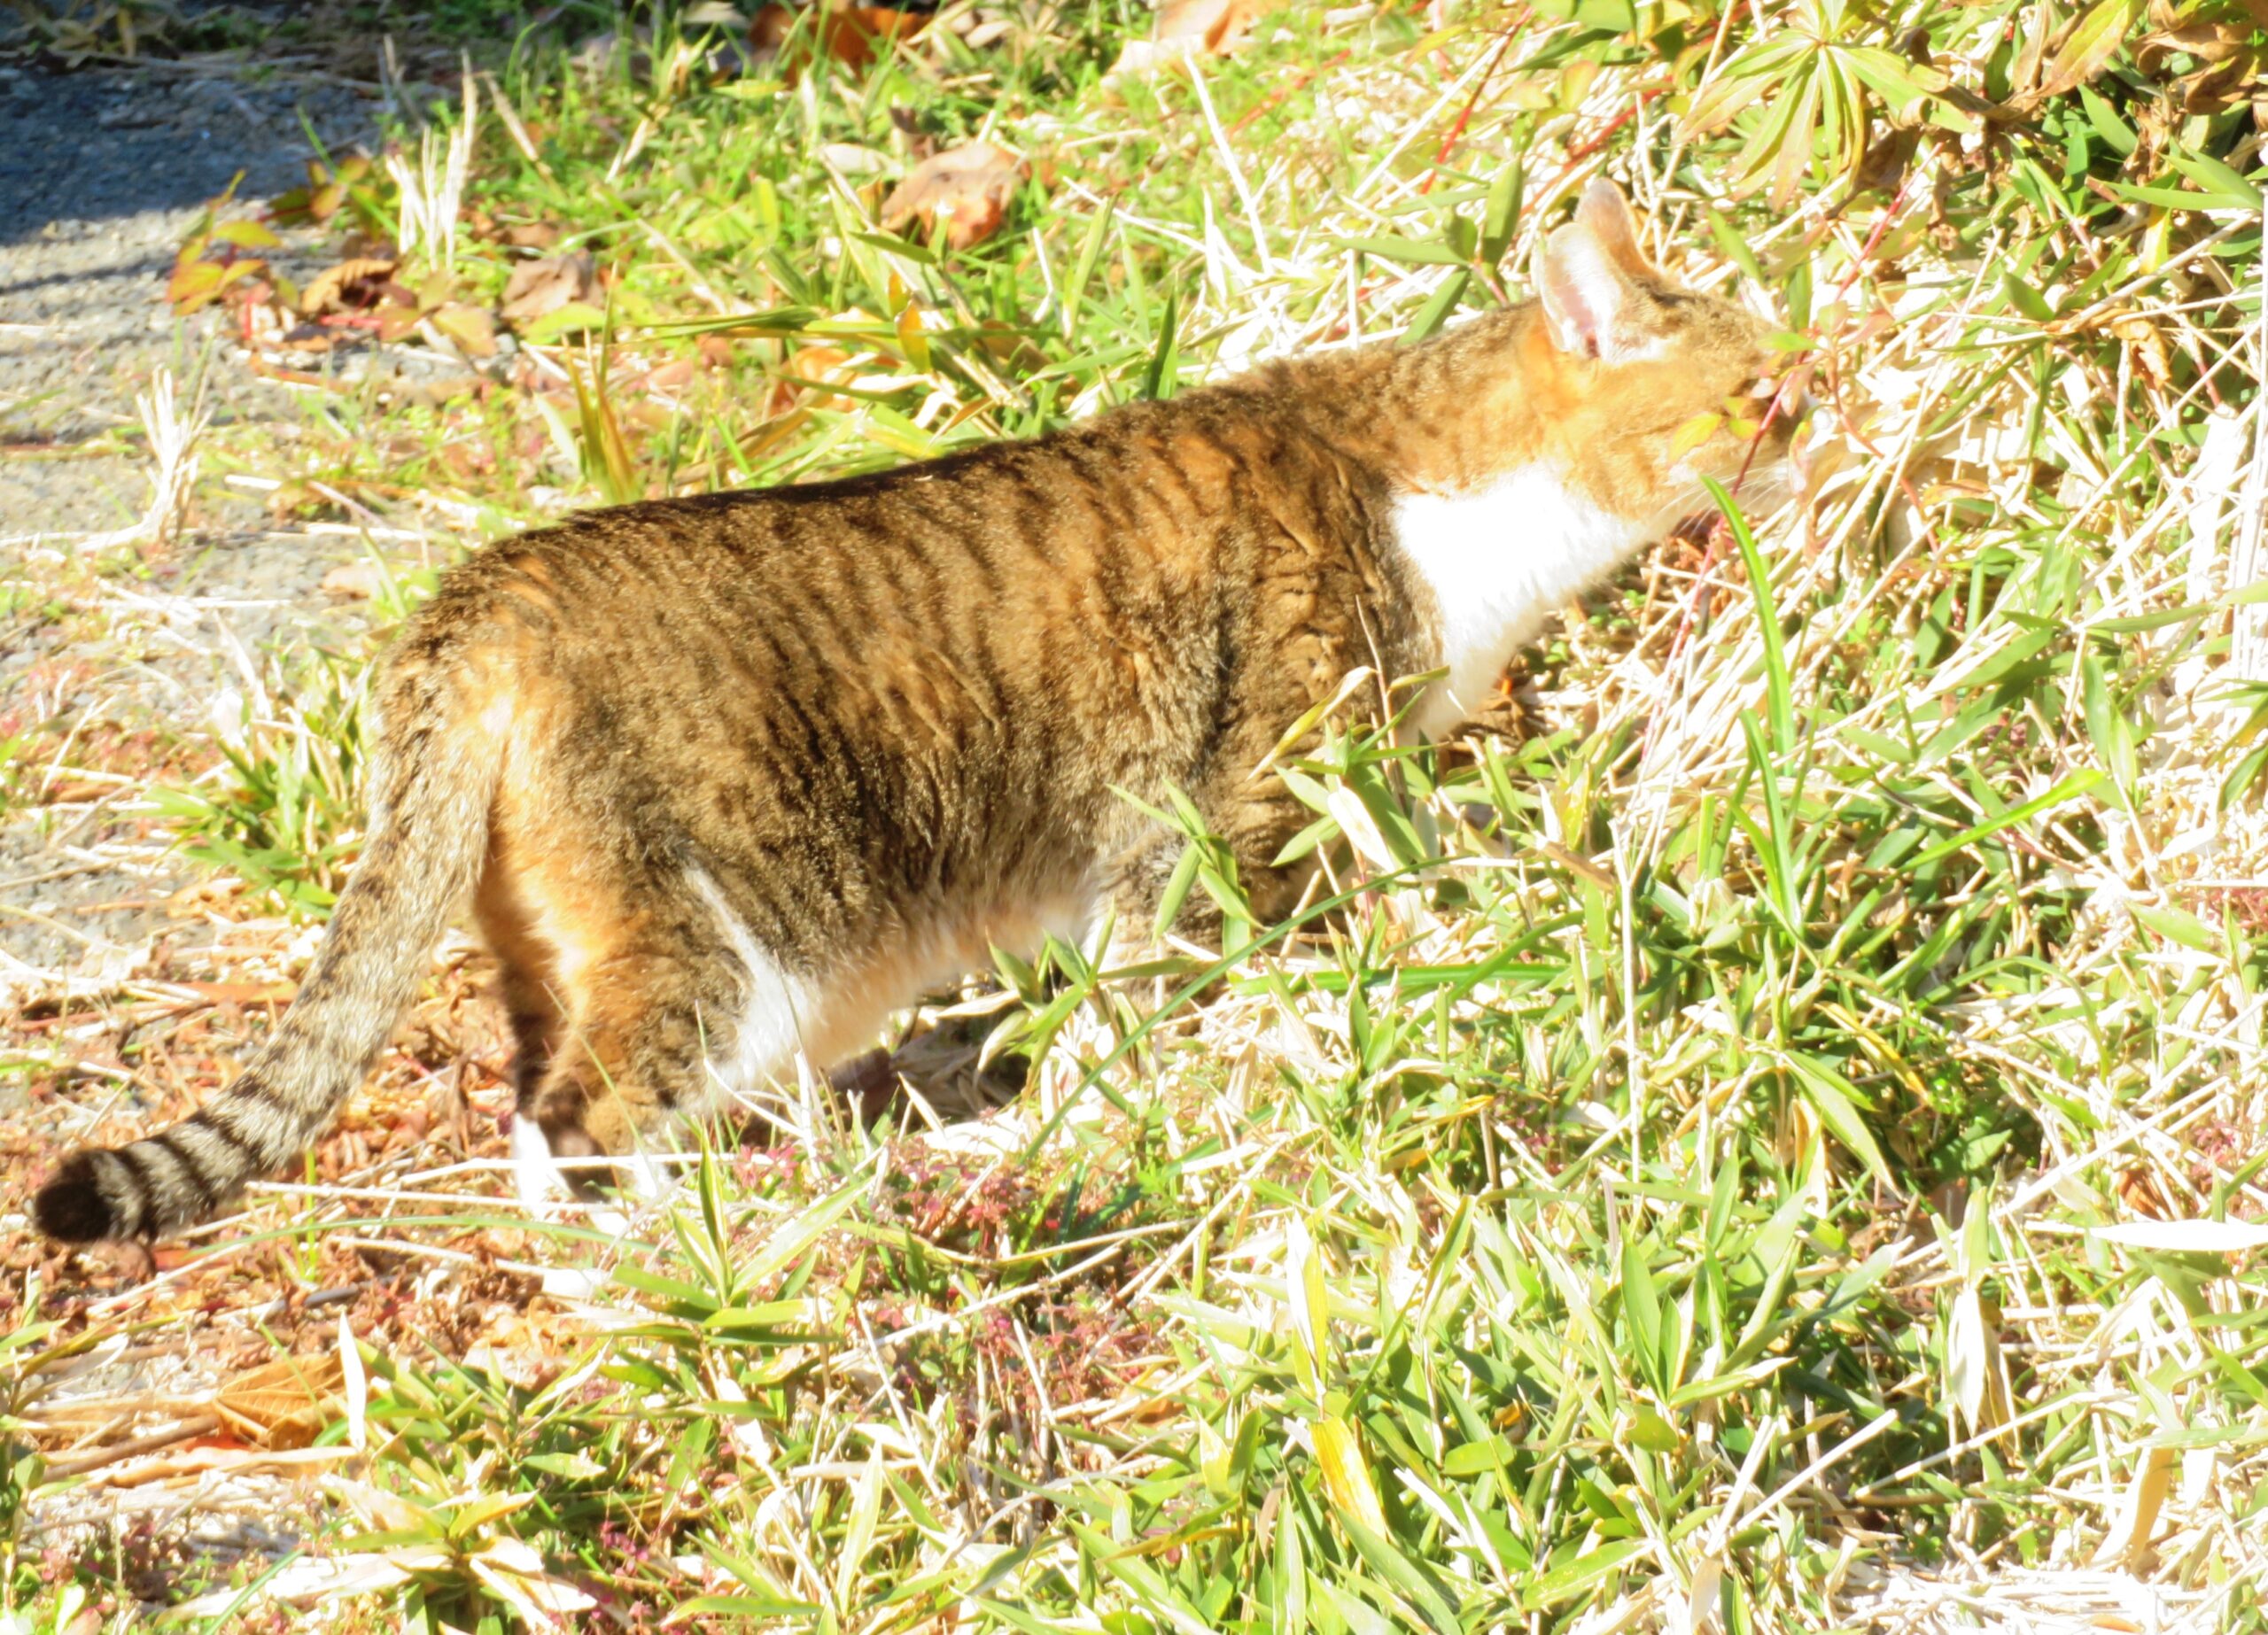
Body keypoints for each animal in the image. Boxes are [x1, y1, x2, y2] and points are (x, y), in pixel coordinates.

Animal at [27, 179, 1796, 1243]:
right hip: (730, 940)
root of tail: (489, 588)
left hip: (566, 932)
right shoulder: (1218, 814)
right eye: (1764, 395)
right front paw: (1106, 1123)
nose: (1832, 406)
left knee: (529, 1104)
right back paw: (692, 1267)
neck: (1438, 500)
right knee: (590, 1114)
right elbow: (1165, 986)